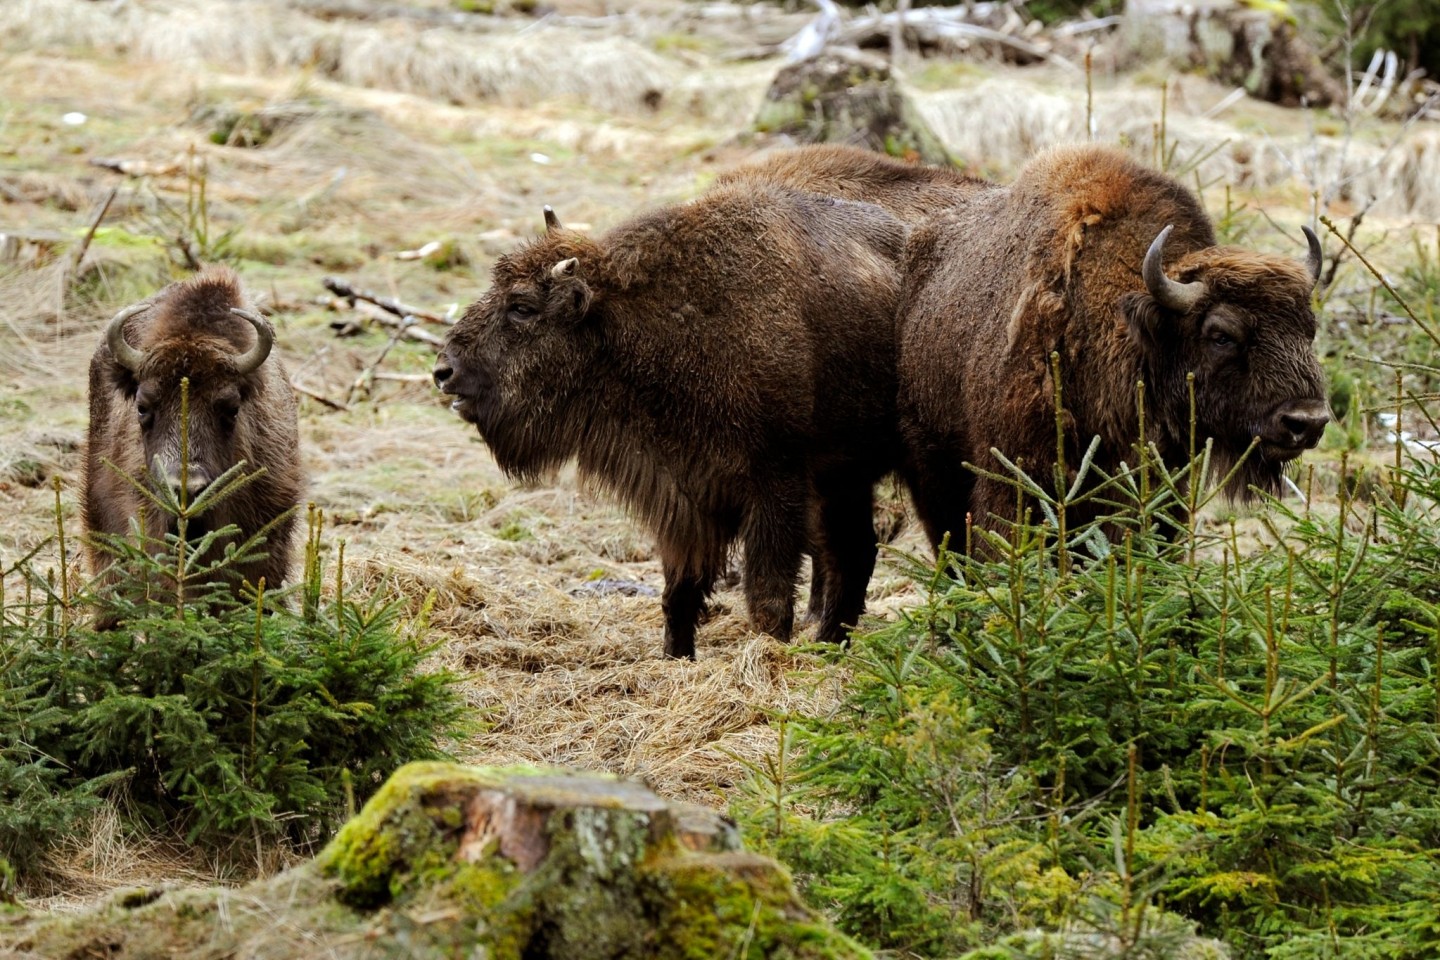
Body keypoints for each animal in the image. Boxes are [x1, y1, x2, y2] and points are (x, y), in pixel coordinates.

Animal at [432, 185, 904, 662]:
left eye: (523, 307)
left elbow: (767, 595)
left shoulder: (778, 486)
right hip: (846, 478)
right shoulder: (682, 495)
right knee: (855, 553)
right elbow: (681, 591)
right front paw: (678, 657)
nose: (443, 371)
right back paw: (831, 645)